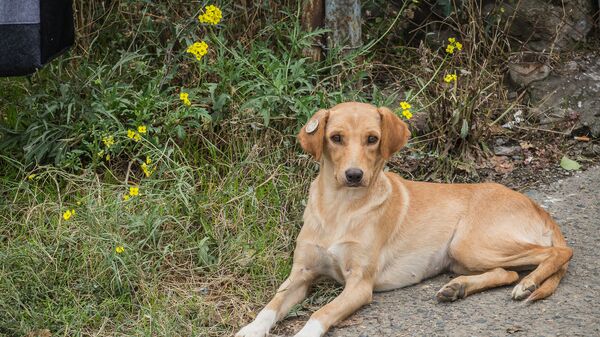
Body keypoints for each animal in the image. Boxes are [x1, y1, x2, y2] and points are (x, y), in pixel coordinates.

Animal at [236, 102, 572, 336]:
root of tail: (536, 205)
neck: (340, 208)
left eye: (372, 139)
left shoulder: (360, 285)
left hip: (471, 244)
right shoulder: (300, 274)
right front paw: (251, 328)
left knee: (559, 253)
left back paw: (529, 283)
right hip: (462, 256)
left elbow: (320, 314)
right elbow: (269, 307)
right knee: (507, 272)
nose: (354, 175)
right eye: (336, 138)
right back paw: (459, 288)